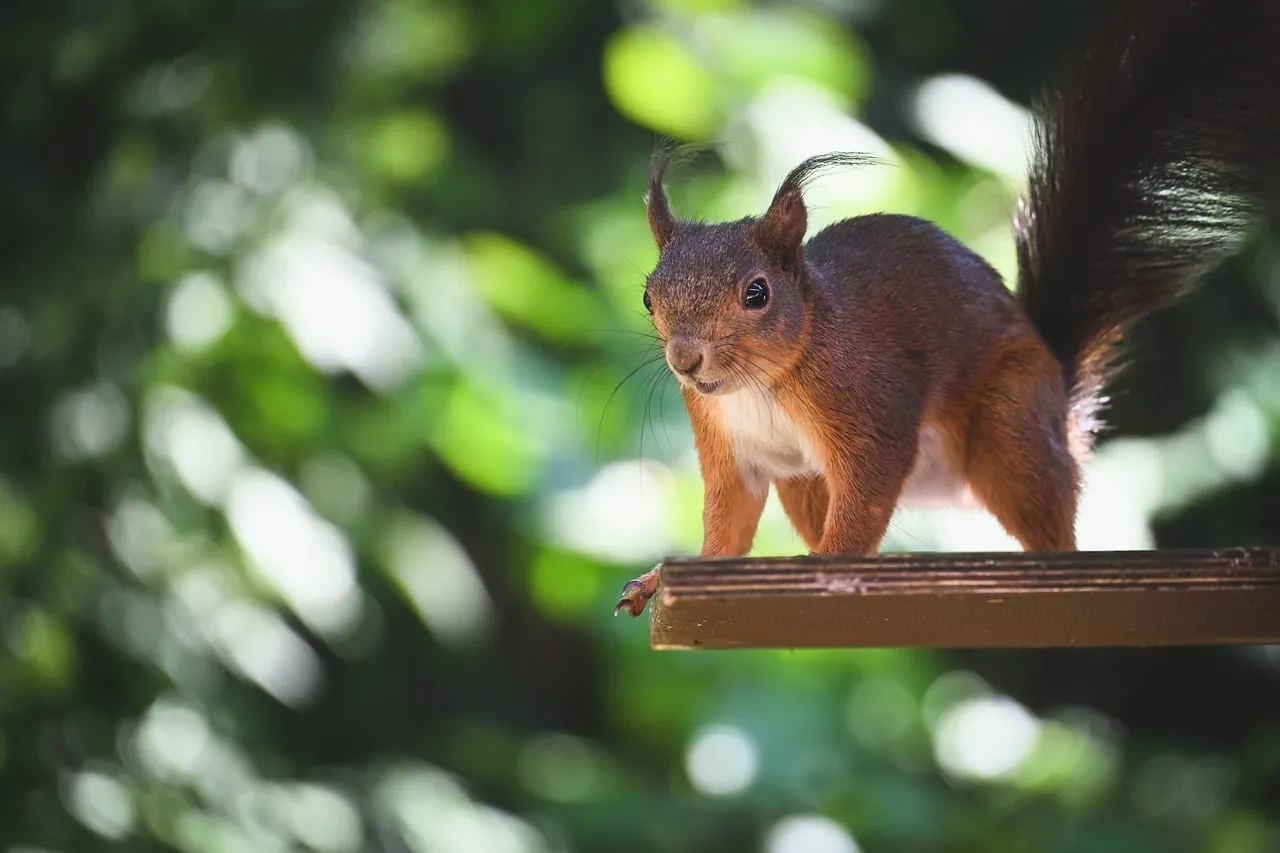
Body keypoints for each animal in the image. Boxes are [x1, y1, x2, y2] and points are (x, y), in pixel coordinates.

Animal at [615, 0, 1280, 617]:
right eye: (648, 296)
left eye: (757, 293)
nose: (685, 360)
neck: (763, 383)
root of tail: (1061, 399)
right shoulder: (728, 448)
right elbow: (727, 527)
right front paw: (659, 577)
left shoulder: (871, 403)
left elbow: (868, 491)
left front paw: (827, 564)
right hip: (806, 482)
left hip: (1011, 427)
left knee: (1050, 525)